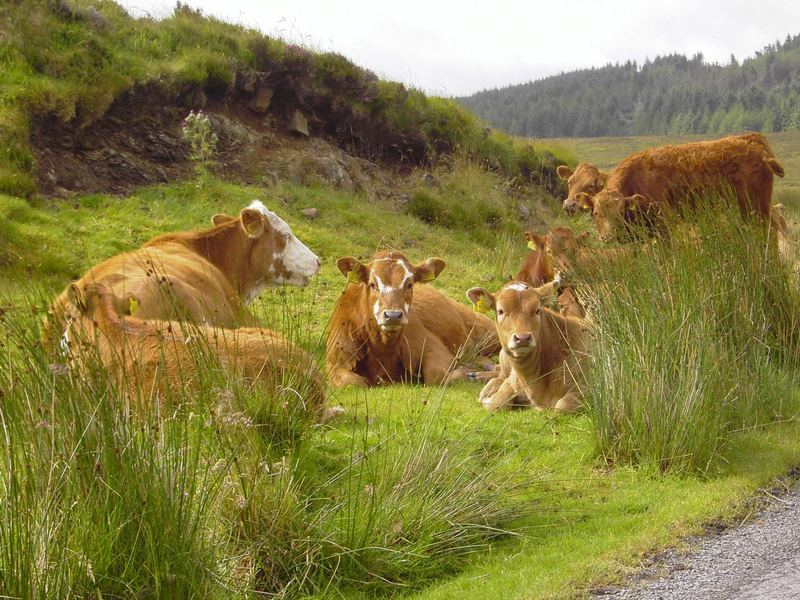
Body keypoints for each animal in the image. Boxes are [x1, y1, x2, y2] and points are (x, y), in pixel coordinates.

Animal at [324, 250, 500, 386]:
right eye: (372, 284)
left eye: (409, 284)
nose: (393, 315)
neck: (381, 349)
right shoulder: (336, 361)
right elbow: (353, 382)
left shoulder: (433, 347)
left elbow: (436, 375)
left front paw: (463, 370)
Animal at [462, 282, 588, 412]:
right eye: (500, 311)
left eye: (537, 310)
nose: (522, 338)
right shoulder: (512, 381)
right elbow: (497, 403)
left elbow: (562, 405)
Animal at [576, 135, 788, 243]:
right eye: (595, 213)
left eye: (619, 214)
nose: (607, 237)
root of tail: (752, 141)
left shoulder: (664, 228)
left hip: (755, 210)